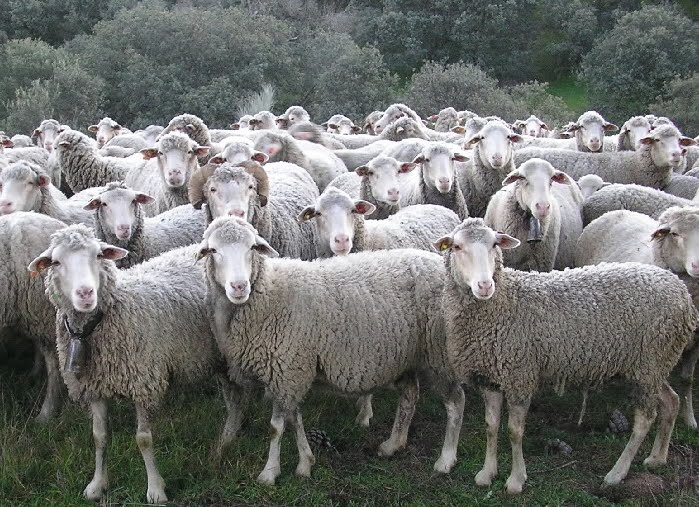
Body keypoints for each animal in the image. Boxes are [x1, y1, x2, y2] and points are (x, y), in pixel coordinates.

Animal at [28, 225, 239, 504]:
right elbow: (99, 437)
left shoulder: (144, 381)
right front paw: (97, 485)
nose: (85, 293)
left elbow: (143, 439)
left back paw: (228, 438)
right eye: (56, 262)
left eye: (98, 255)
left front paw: (156, 489)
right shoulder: (95, 387)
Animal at [199, 217, 465, 484]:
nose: (239, 286)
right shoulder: (293, 371)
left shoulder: (286, 371)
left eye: (252, 247)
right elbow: (294, 419)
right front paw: (305, 463)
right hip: (406, 355)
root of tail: (438, 264)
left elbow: (276, 427)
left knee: (455, 402)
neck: (268, 293)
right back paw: (393, 444)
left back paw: (445, 460)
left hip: (439, 352)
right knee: (410, 395)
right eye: (213, 250)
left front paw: (270, 472)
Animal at [575, 206, 699, 429]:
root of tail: (619, 211)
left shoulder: (695, 344)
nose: (697, 266)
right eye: (675, 234)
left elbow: (687, 380)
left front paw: (691, 419)